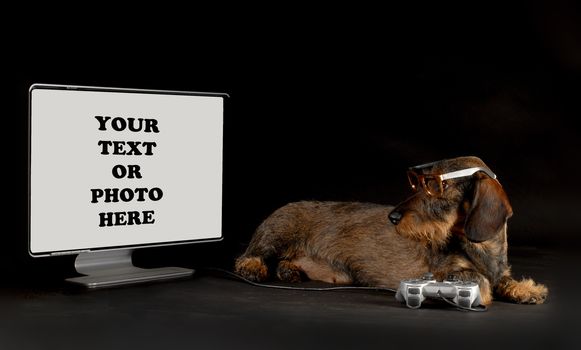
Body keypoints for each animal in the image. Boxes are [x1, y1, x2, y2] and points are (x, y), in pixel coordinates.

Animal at [233, 156, 548, 304]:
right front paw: (482, 289)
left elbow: (503, 279)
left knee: (283, 262)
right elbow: (472, 276)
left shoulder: (498, 269)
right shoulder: (442, 272)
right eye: (418, 183)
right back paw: (253, 267)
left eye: (435, 187)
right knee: (249, 255)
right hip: (277, 232)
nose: (392, 216)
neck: (479, 248)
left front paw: (524, 288)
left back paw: (289, 271)